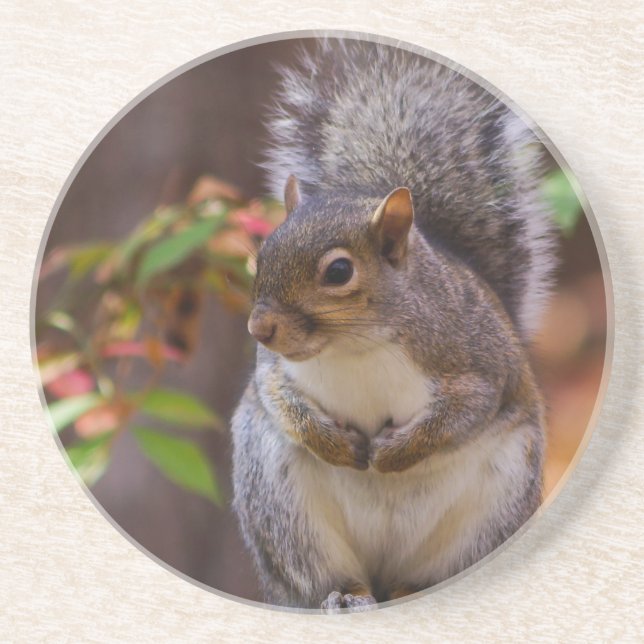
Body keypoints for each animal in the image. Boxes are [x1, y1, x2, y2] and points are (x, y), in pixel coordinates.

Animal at [231, 39, 556, 611]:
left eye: (339, 271)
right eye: (261, 254)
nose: (260, 330)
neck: (354, 345)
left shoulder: (478, 362)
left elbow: (465, 411)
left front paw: (393, 453)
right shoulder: (273, 370)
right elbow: (277, 397)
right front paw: (335, 445)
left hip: (494, 507)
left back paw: (412, 588)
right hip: (282, 509)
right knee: (322, 574)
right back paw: (345, 595)